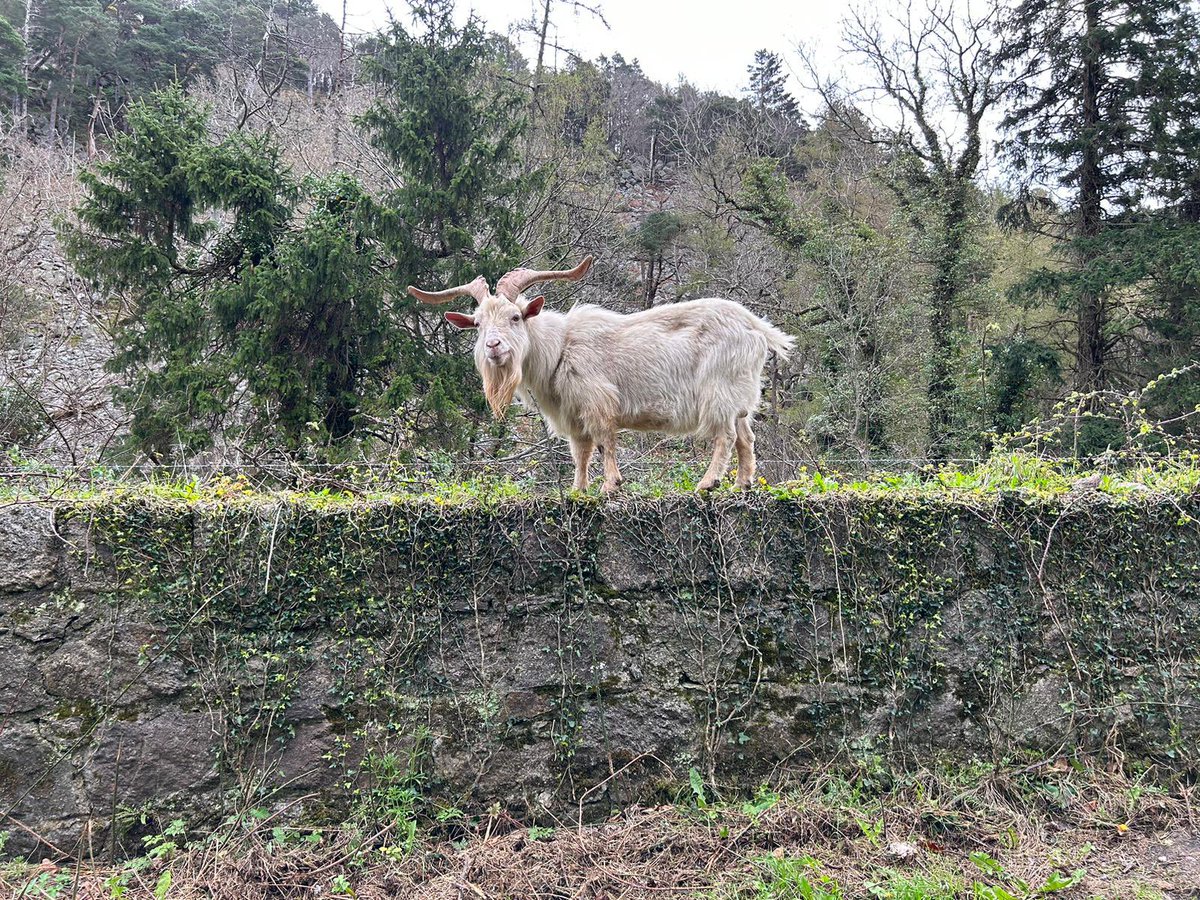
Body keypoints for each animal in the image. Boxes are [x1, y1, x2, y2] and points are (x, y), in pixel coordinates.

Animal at [408, 256, 794, 493]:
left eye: (515, 317)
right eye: (477, 324)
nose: (493, 346)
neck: (560, 347)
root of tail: (756, 327)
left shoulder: (597, 402)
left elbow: (605, 441)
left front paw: (610, 486)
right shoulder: (572, 416)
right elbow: (580, 452)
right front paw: (578, 489)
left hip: (718, 390)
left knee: (725, 435)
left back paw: (708, 483)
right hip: (740, 396)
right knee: (746, 436)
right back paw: (742, 484)